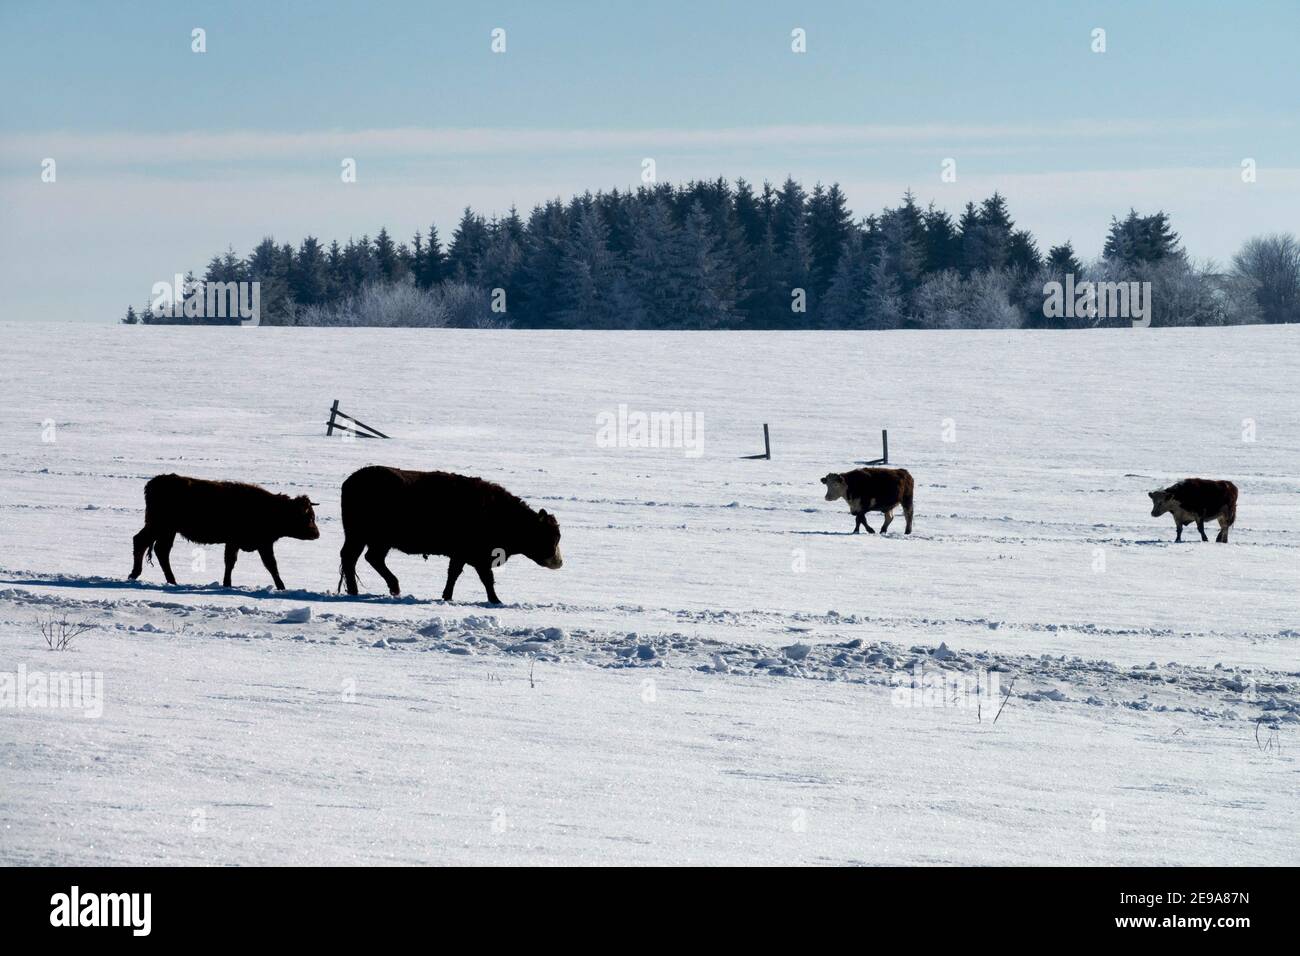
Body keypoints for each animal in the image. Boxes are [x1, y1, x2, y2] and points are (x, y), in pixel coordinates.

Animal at [127, 473, 319, 587]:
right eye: (308, 517)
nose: (316, 534)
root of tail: (156, 482)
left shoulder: (256, 544)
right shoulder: (247, 542)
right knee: (144, 543)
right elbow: (259, 564)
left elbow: (266, 565)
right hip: (161, 526)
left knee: (158, 549)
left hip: (166, 530)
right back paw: (138, 575)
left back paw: (168, 580)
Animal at [338, 465, 561, 606]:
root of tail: (352, 480)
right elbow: (486, 579)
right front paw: (495, 600)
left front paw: (447, 596)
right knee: (353, 558)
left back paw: (389, 587)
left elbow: (453, 573)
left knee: (369, 558)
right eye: (549, 536)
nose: (558, 562)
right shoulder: (478, 556)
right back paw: (362, 590)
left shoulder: (461, 555)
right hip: (360, 536)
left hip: (374, 540)